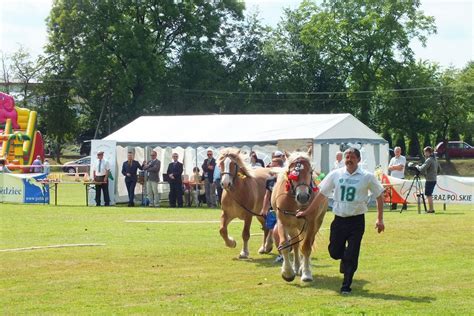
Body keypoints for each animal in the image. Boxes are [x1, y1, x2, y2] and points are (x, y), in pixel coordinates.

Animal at [272, 152, 328, 282]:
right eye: (290, 173)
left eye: (310, 171)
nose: (302, 196)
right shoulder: (283, 221)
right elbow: (285, 245)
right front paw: (287, 272)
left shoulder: (311, 223)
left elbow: (306, 247)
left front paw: (306, 273)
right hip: (293, 227)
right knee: (296, 244)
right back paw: (297, 266)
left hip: (315, 223)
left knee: (307, 243)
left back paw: (303, 267)